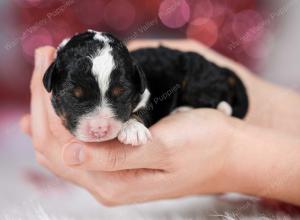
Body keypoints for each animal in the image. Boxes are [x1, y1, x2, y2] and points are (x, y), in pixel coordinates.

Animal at [42, 29, 248, 146]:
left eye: (121, 93)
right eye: (74, 95)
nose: (99, 130)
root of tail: (221, 68)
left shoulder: (146, 93)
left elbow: (143, 111)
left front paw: (133, 129)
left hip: (199, 83)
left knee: (222, 104)